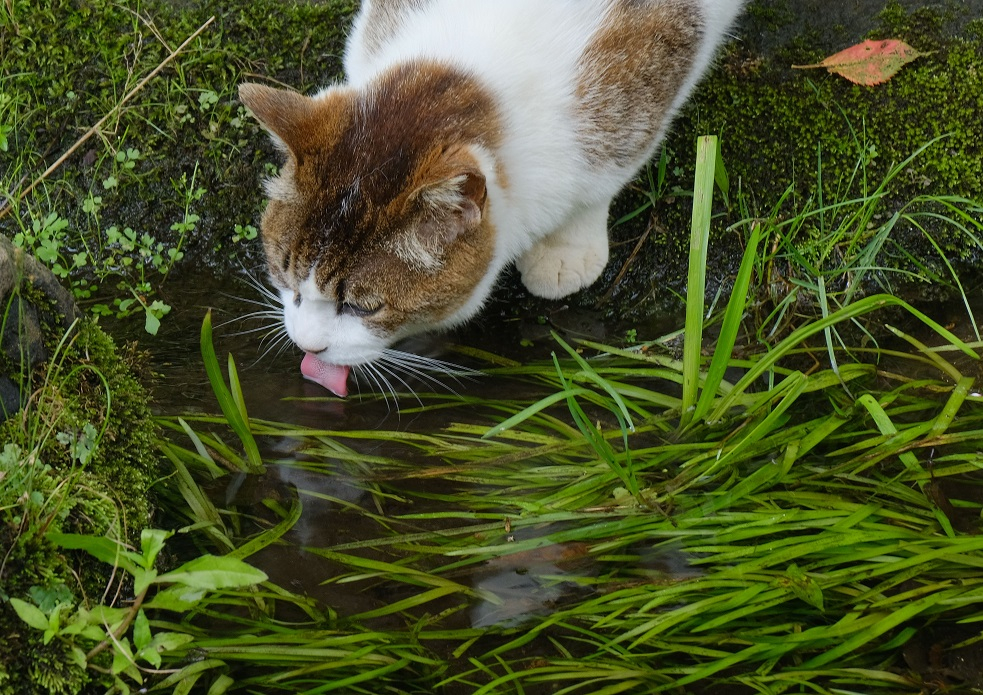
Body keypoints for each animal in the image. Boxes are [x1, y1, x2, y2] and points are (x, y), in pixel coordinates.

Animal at [240, 0, 744, 396]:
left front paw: (566, 247)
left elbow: (605, 178)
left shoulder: (643, 87)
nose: (307, 345)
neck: (471, 71)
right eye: (283, 274)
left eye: (364, 308)